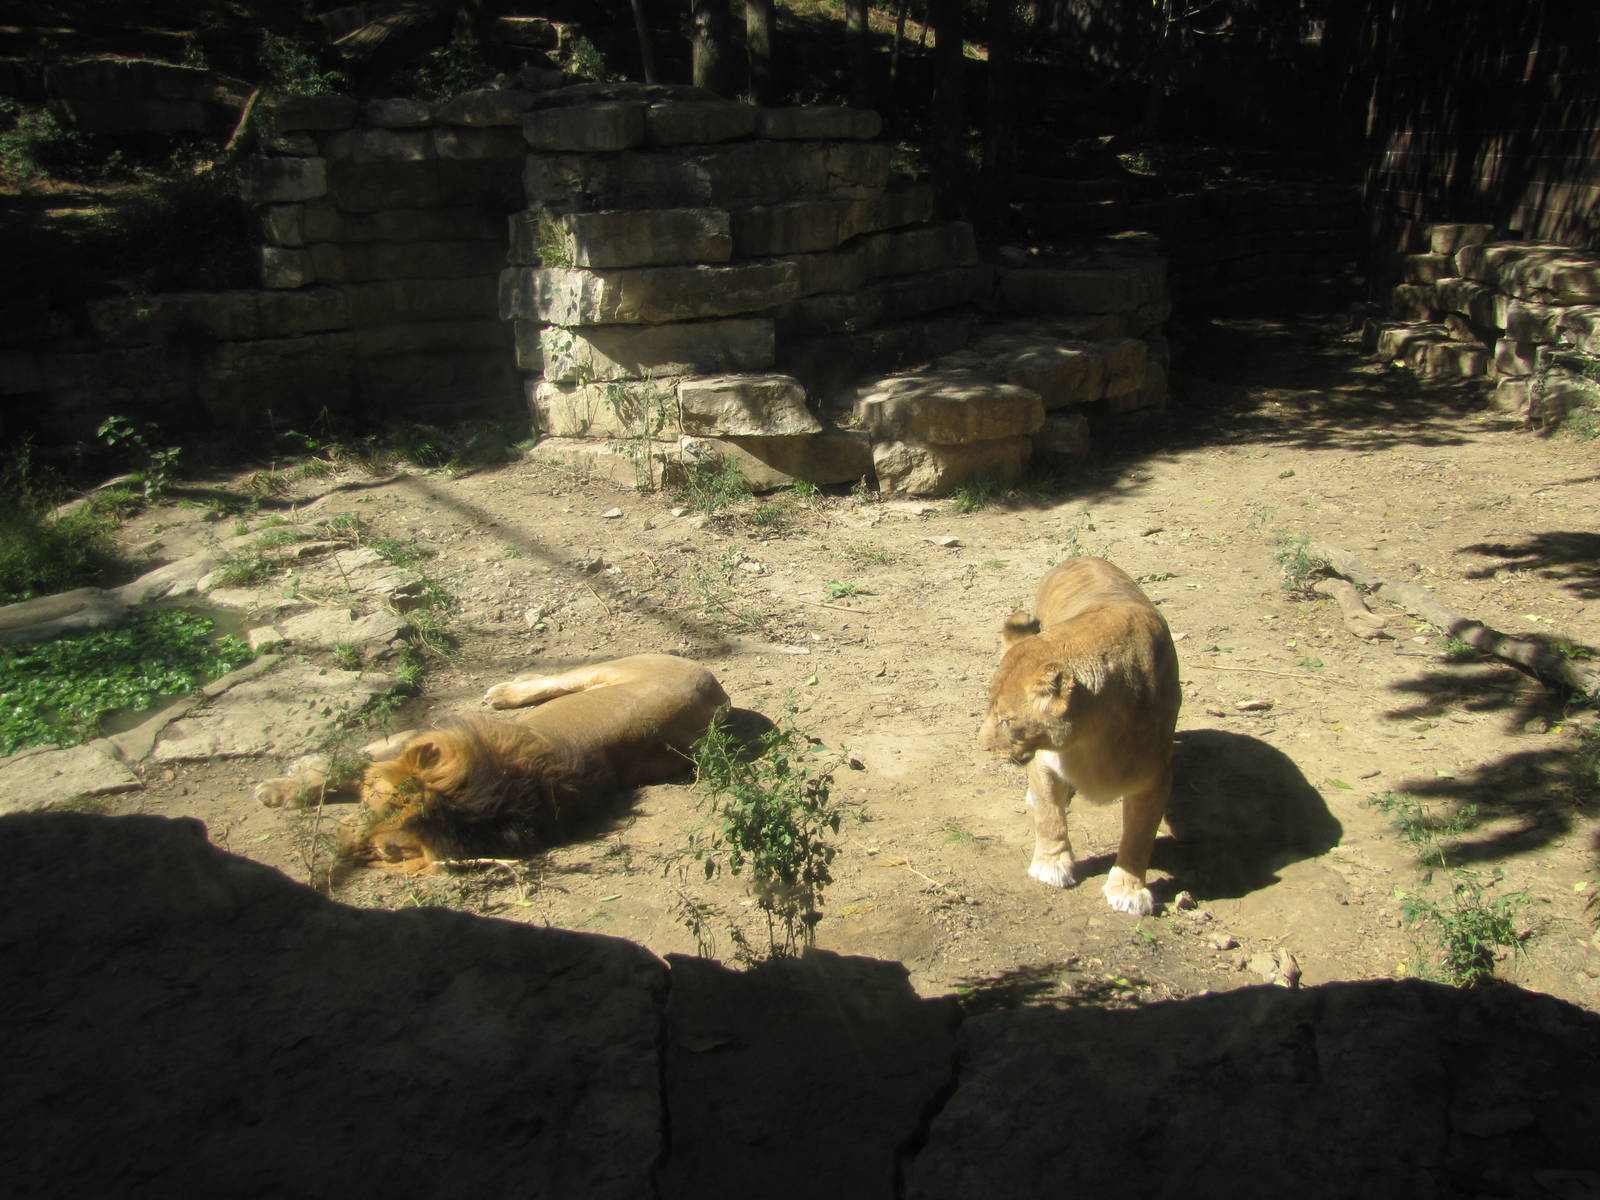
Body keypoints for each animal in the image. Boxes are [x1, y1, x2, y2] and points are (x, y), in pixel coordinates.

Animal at [255, 653, 730, 868]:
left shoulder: (411, 737)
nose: (348, 844)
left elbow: (346, 763)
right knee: (556, 682)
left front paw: (280, 786)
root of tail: (717, 690)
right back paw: (508, 689)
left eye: (388, 851)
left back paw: (503, 691)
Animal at [977, 557, 1182, 915]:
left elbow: (1139, 837)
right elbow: (1049, 817)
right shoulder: (1044, 761)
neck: (1091, 737)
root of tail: (1081, 557)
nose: (984, 746)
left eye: (1006, 719)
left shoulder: (1155, 776)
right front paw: (1051, 866)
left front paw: (1129, 890)